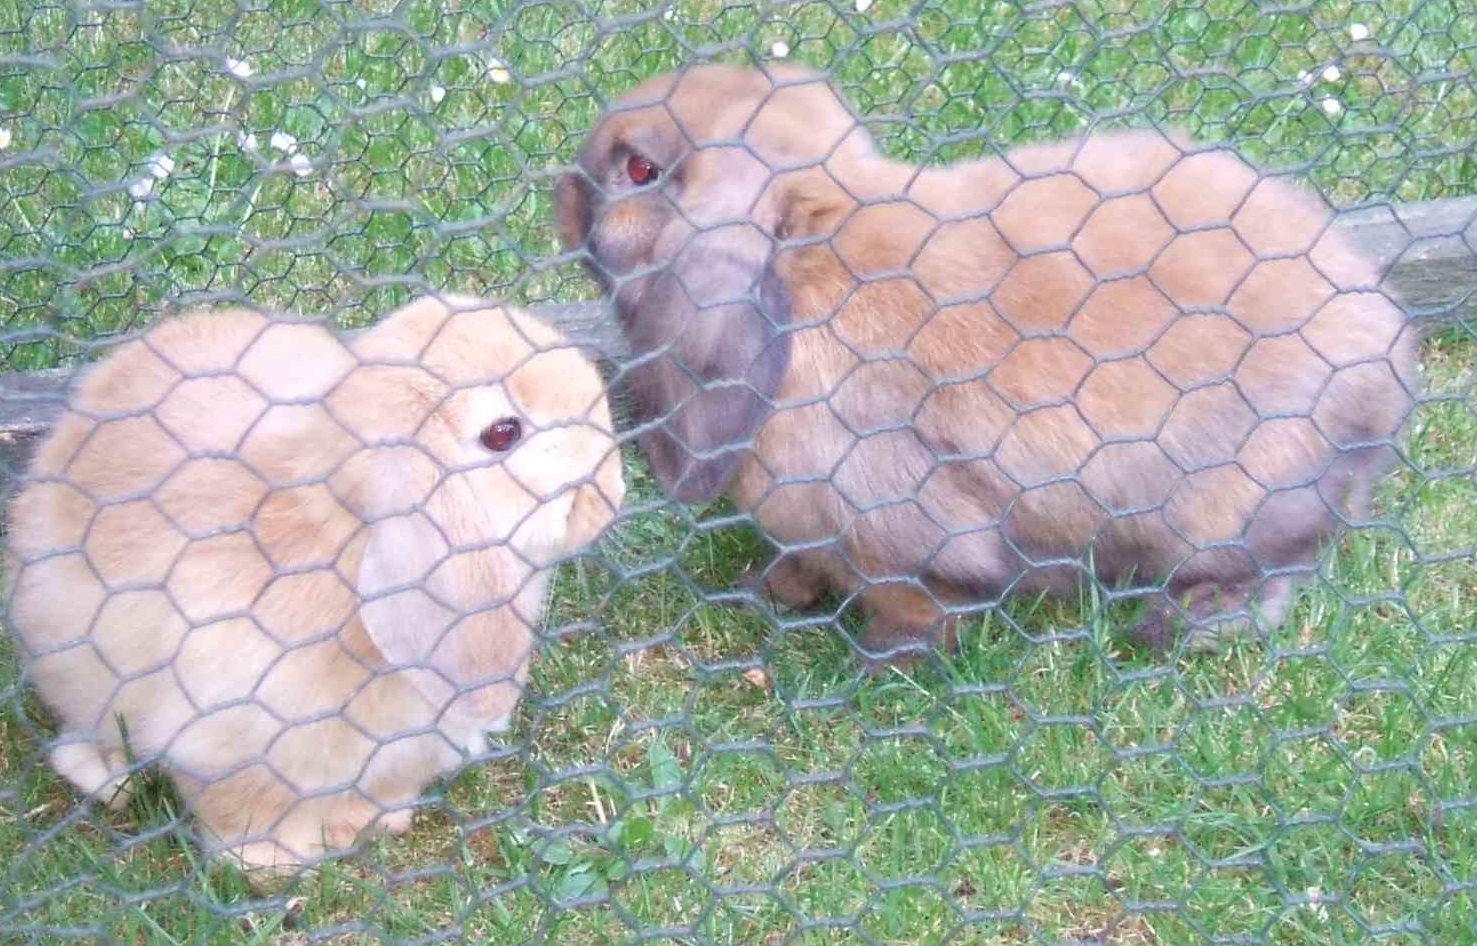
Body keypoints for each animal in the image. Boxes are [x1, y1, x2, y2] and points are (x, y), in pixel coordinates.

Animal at [554, 62, 1420, 658]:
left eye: (639, 170)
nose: (562, 194)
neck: (811, 257)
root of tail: (1388, 364)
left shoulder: (887, 519)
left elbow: (919, 602)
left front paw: (883, 659)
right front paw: (765, 591)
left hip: (1234, 504)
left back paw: (1187, 622)